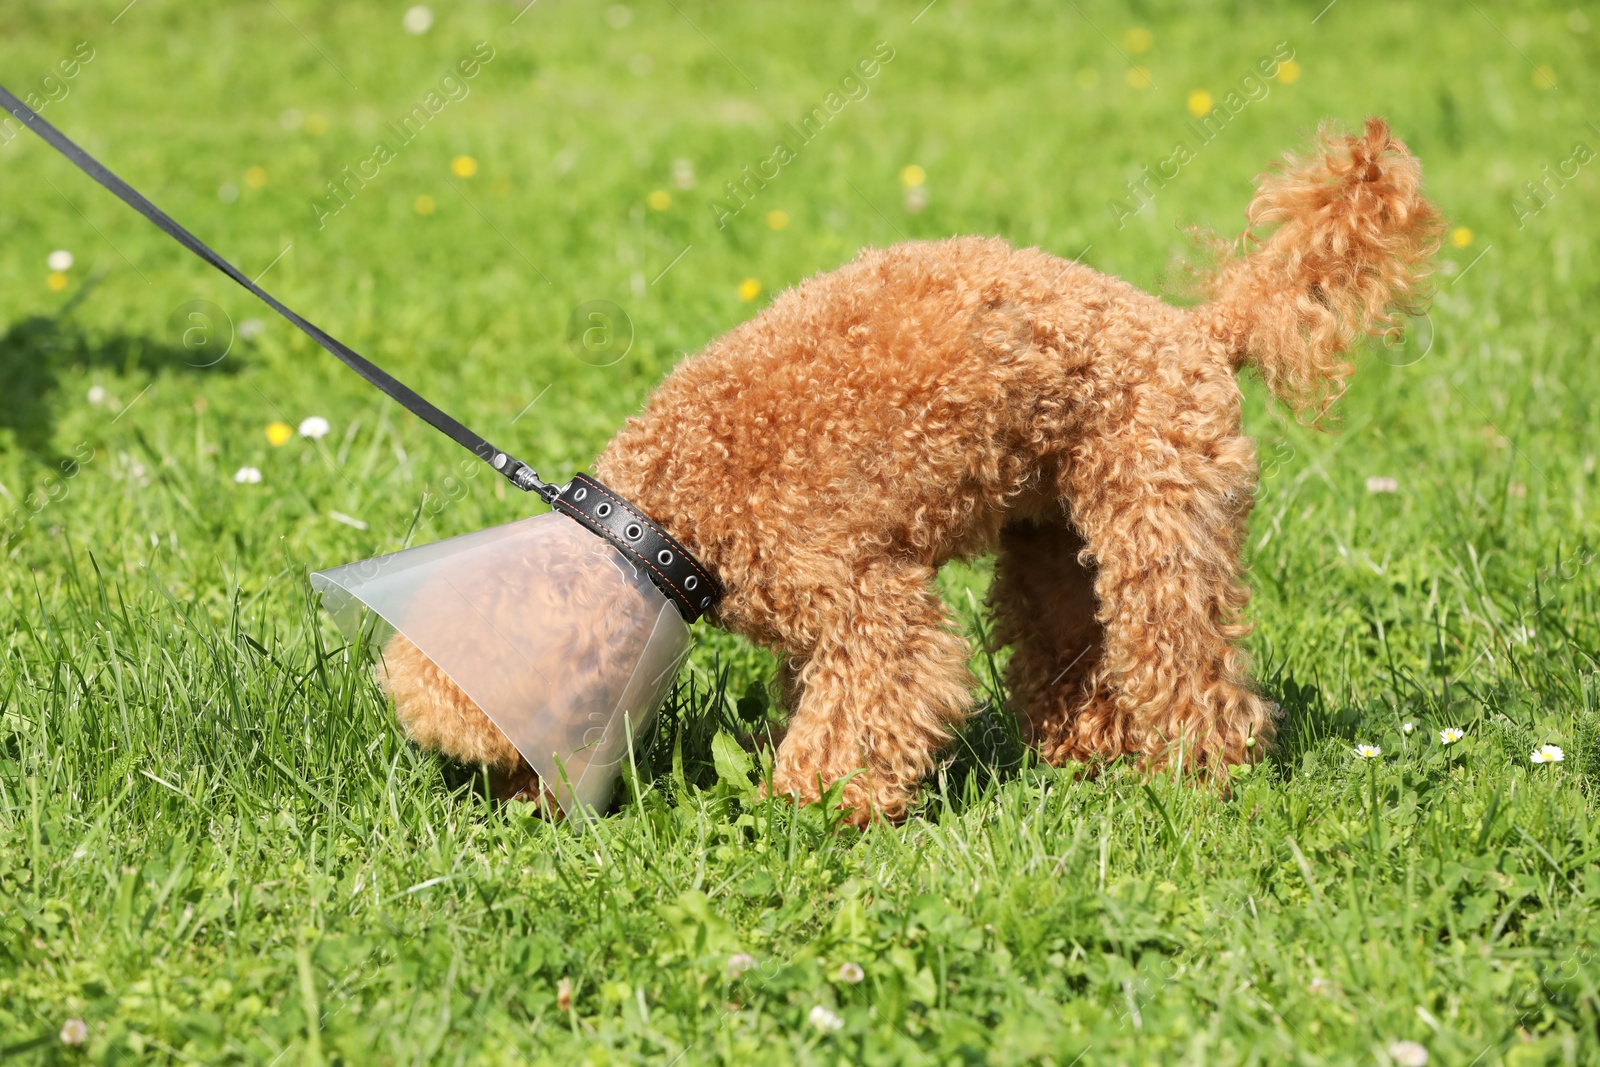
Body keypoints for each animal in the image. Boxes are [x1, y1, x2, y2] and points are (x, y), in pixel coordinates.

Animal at [393, 116, 1446, 825]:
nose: (520, 806)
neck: (655, 527)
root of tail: (1199, 329)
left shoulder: (866, 601)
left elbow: (876, 700)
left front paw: (812, 803)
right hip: (1051, 539)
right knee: (1067, 646)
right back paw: (1084, 755)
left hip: (1161, 510)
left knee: (1185, 653)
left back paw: (1198, 770)